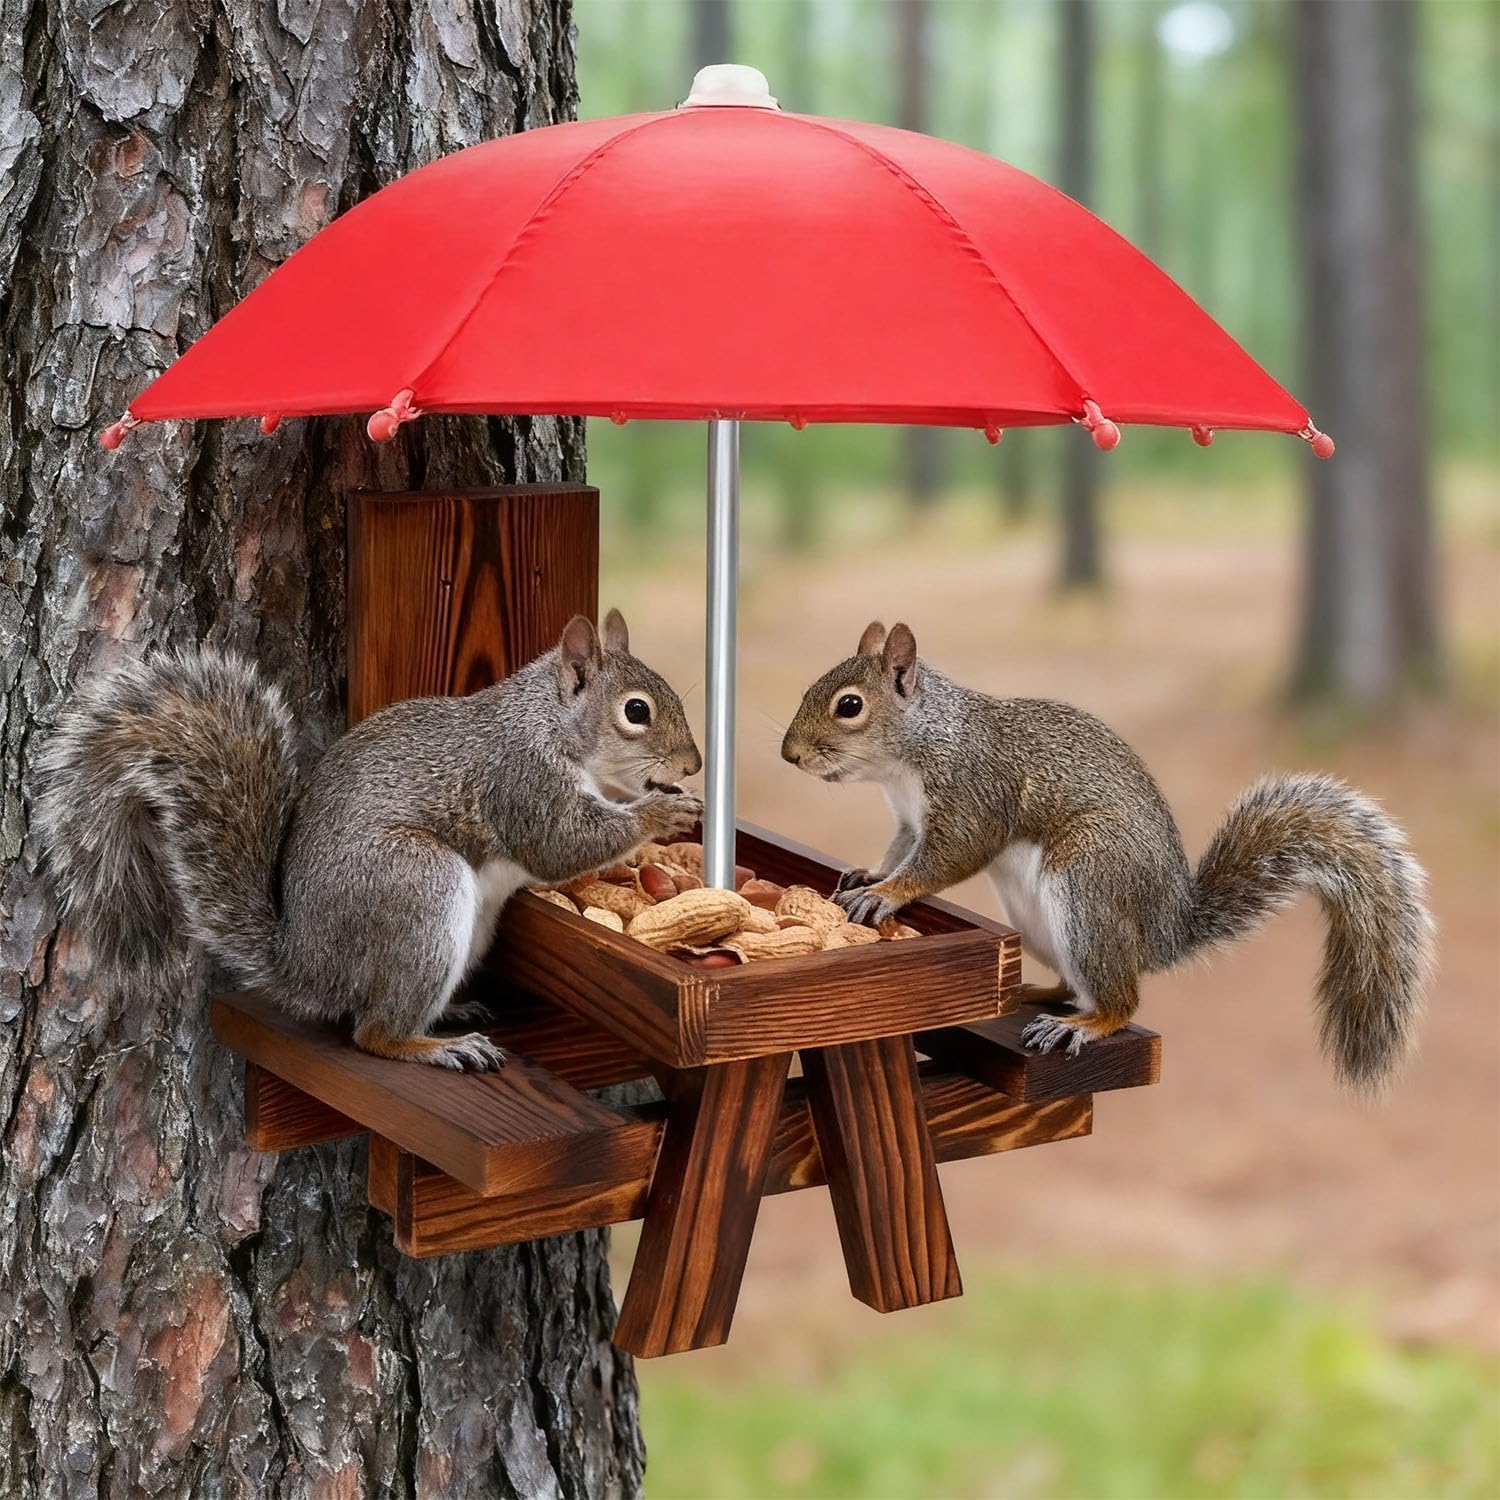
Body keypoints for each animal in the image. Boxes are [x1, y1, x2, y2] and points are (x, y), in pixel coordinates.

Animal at [35, 609, 703, 1072]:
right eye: (636, 711)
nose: (695, 765)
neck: (550, 723)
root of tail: (306, 965)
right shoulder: (521, 780)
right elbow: (560, 844)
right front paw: (661, 815)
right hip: (417, 886)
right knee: (372, 1033)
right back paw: (436, 1047)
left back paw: (449, 1013)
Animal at [781, 620, 1434, 1093]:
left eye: (848, 705)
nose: (789, 755)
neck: (916, 750)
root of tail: (1166, 931)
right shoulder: (908, 819)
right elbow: (899, 850)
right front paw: (870, 873)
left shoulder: (973, 796)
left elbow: (945, 858)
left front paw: (885, 893)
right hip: (1041, 920)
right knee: (1074, 984)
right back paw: (1033, 995)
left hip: (1088, 882)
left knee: (1119, 1001)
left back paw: (1081, 1026)